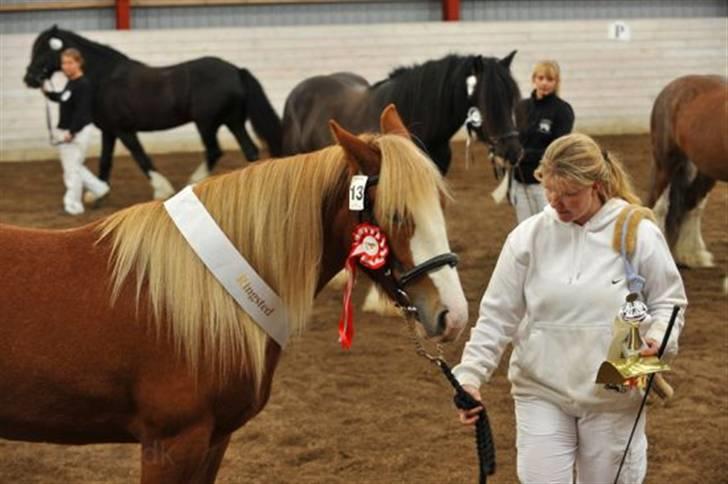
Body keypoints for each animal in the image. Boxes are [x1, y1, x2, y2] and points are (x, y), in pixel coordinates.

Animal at [24, 25, 282, 199]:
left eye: (43, 50)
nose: (29, 79)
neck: (105, 78)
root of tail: (236, 70)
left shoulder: (124, 130)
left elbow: (141, 157)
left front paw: (162, 190)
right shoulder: (109, 130)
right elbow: (106, 161)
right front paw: (97, 194)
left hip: (207, 123)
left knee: (214, 151)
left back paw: (193, 182)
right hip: (233, 121)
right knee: (250, 151)